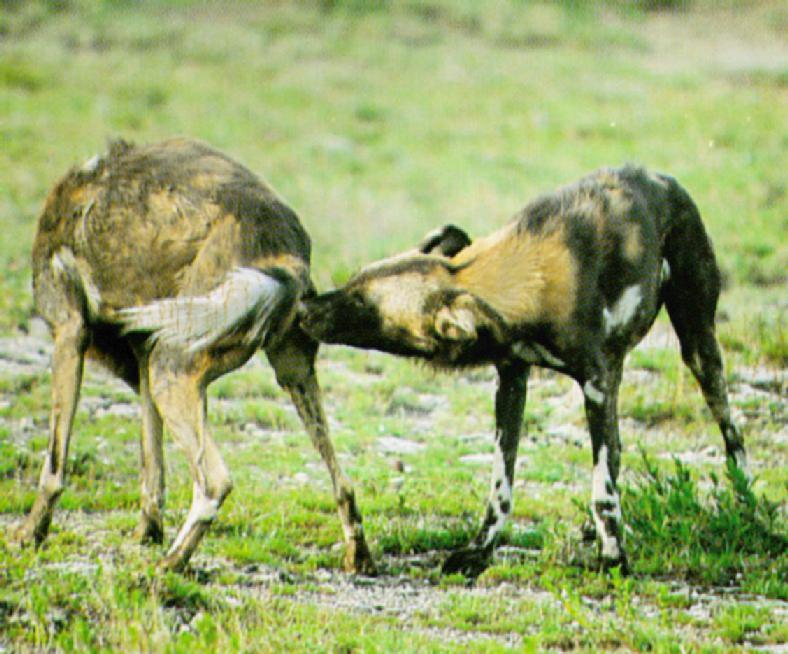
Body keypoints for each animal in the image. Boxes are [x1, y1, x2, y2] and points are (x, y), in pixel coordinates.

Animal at [12, 137, 376, 576]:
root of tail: (285, 254)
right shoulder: (143, 358)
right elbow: (151, 467)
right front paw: (147, 532)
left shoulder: (69, 335)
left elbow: (53, 466)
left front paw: (30, 533)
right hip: (286, 375)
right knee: (344, 482)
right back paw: (358, 557)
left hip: (171, 369)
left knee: (215, 482)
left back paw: (169, 565)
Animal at [302, 167, 752, 576]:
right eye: (352, 281)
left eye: (361, 305)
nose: (305, 306)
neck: (525, 289)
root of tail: (665, 179)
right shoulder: (513, 381)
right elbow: (502, 486)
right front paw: (480, 552)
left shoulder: (595, 385)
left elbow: (602, 488)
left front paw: (614, 559)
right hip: (623, 366)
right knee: (617, 451)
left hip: (698, 348)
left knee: (730, 432)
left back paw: (747, 504)